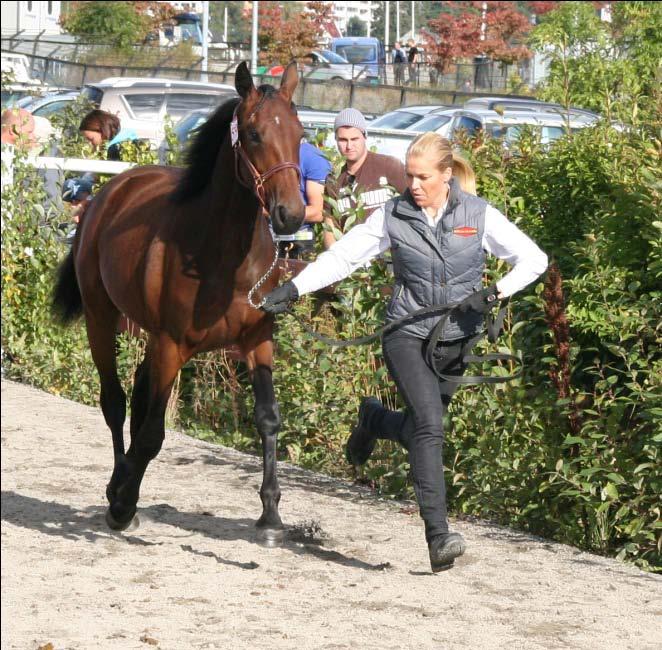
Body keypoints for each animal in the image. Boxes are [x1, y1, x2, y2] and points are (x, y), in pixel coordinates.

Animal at [53, 62, 308, 536]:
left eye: (300, 133)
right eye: (253, 133)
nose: (291, 215)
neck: (222, 259)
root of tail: (112, 189)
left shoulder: (256, 340)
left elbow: (267, 417)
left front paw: (270, 513)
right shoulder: (173, 345)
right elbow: (154, 432)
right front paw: (123, 503)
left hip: (149, 335)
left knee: (137, 393)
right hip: (102, 317)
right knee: (115, 401)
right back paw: (119, 489)